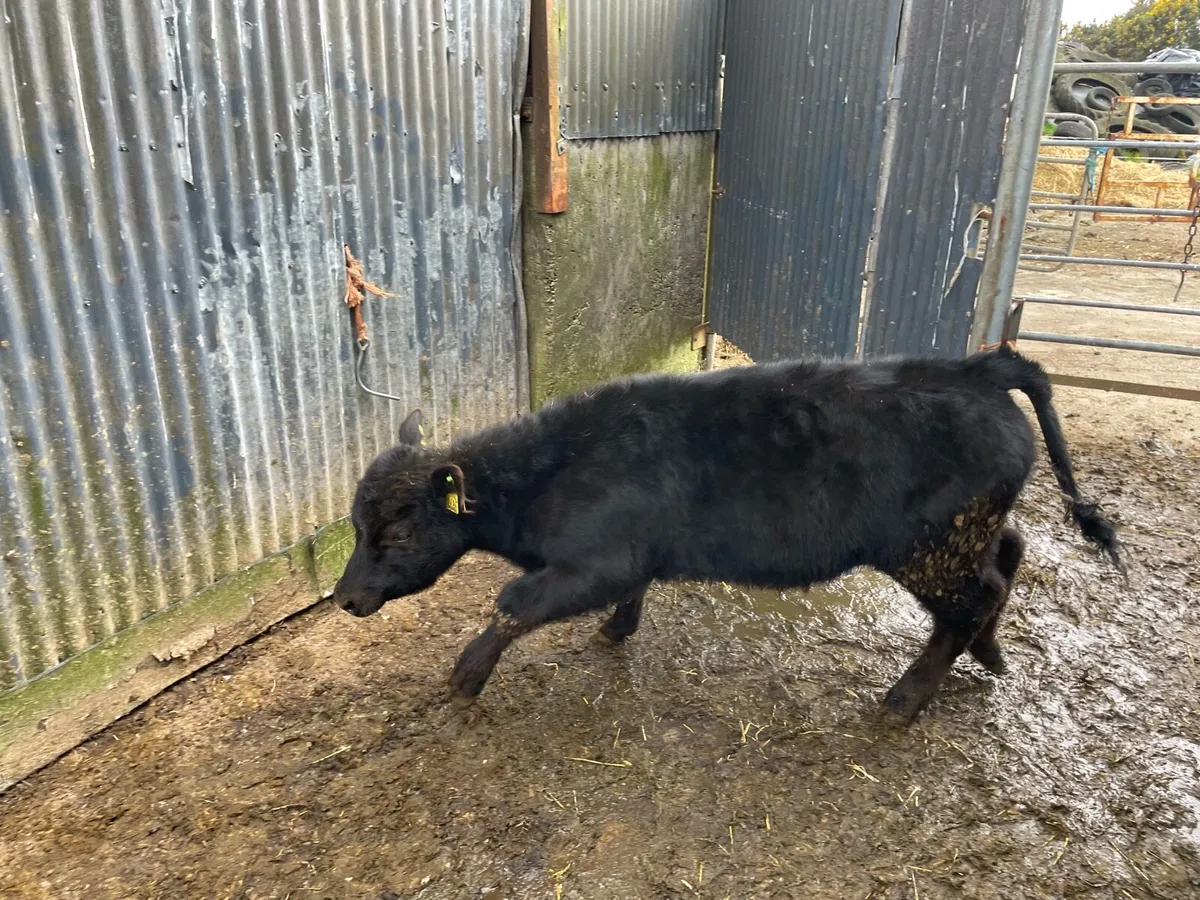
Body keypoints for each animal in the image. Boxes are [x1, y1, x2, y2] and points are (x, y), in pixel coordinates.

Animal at [333, 345, 1122, 720]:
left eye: (393, 538)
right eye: (355, 526)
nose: (343, 598)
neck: (552, 471)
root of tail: (978, 367)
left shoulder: (597, 560)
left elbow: (512, 604)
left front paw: (466, 676)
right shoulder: (633, 557)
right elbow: (623, 596)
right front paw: (616, 631)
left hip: (931, 548)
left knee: (966, 604)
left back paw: (905, 699)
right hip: (972, 531)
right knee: (1009, 559)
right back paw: (991, 655)